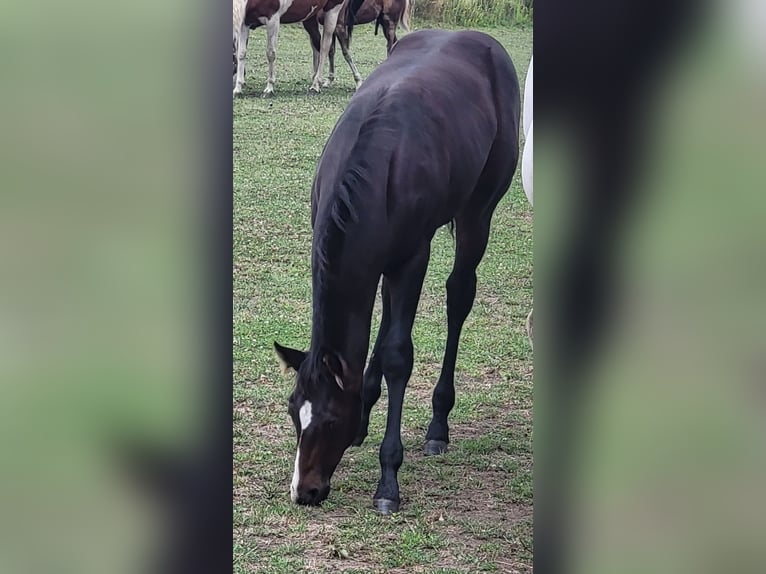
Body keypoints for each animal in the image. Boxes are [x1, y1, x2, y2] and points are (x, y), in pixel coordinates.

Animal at [276, 29, 520, 516]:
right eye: (294, 411)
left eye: (329, 419)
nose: (304, 492)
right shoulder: (377, 261)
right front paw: (365, 415)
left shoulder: (412, 257)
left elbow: (397, 355)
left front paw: (388, 479)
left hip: (477, 213)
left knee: (458, 296)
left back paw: (438, 424)